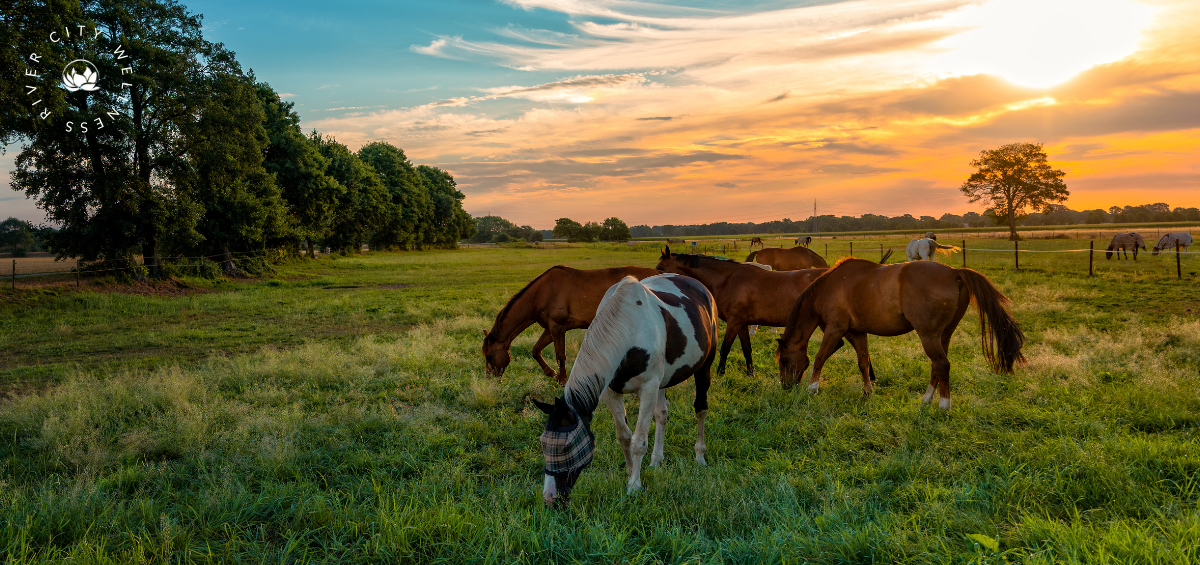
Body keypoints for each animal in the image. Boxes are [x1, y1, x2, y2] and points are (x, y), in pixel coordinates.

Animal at [483, 265, 659, 383]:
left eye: (489, 356)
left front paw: (563, 380)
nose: (489, 380)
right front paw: (552, 374)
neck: (540, 292)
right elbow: (536, 350)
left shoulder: (557, 327)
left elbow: (560, 355)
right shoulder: (550, 329)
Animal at [533, 273, 718, 507]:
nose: (550, 498)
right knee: (662, 413)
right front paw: (631, 473)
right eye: (543, 443)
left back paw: (699, 456)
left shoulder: (648, 388)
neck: (629, 327)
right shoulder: (611, 392)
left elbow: (638, 441)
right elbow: (624, 436)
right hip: (662, 382)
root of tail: (700, 286)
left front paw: (634, 486)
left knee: (700, 408)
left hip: (704, 367)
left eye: (566, 447)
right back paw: (656, 460)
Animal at [657, 247, 873, 378]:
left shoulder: (734, 322)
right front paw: (750, 373)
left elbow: (725, 348)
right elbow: (747, 349)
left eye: (660, 268)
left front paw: (720, 372)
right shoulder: (742, 323)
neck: (728, 279)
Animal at [775, 258, 1025, 410]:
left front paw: (812, 390)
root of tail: (954, 272)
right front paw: (868, 392)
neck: (831, 286)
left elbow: (819, 359)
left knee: (942, 365)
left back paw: (943, 405)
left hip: (928, 335)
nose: (786, 388)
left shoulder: (835, 330)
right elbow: (863, 363)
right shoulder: (857, 333)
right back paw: (926, 401)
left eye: (784, 360)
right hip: (942, 336)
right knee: (937, 366)